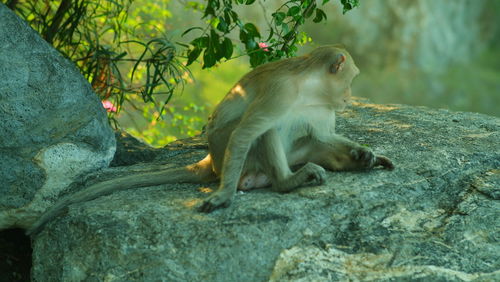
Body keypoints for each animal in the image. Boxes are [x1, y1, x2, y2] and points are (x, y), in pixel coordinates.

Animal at [26, 45, 394, 236]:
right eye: (351, 79)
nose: (349, 97)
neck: (309, 88)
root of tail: (211, 162)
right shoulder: (280, 92)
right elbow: (248, 132)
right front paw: (223, 196)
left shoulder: (321, 108)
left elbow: (323, 135)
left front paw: (366, 154)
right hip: (229, 152)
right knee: (261, 132)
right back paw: (287, 181)